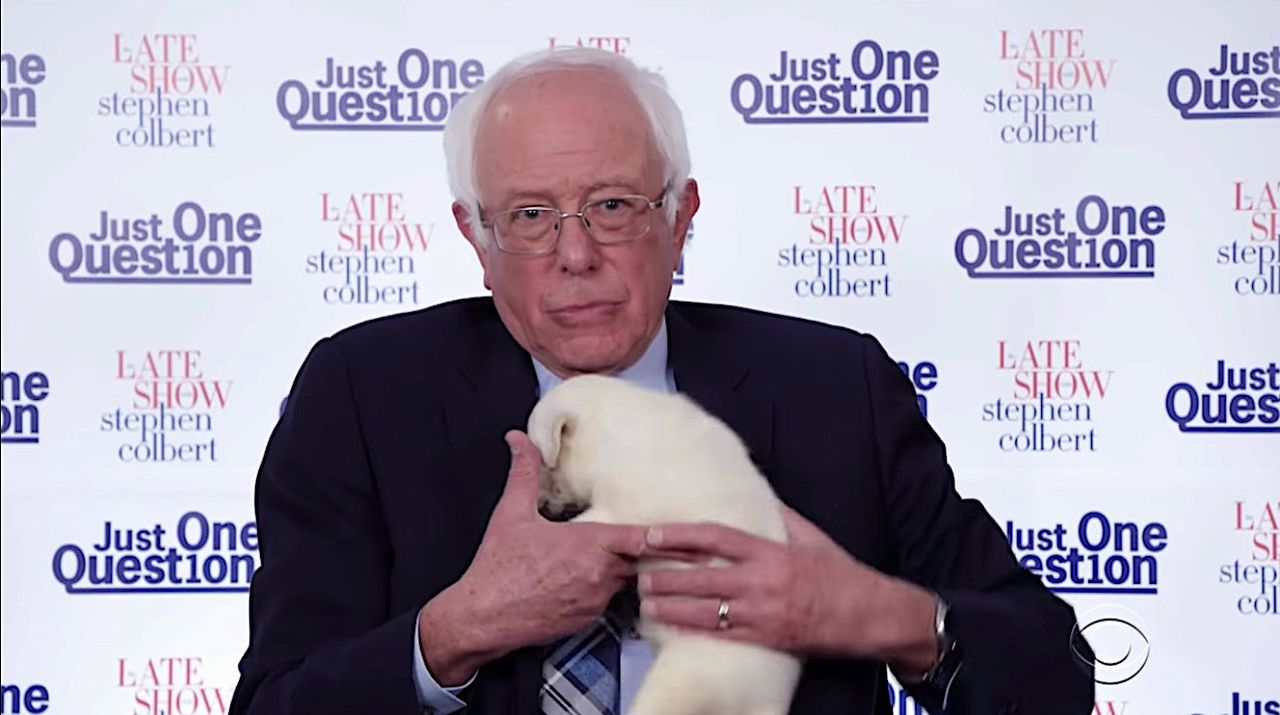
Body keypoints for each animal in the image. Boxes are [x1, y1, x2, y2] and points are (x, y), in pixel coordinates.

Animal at [527, 376, 798, 715]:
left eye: (547, 469)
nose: (542, 508)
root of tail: (766, 703)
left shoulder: (626, 509)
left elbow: (592, 522)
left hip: (683, 675)